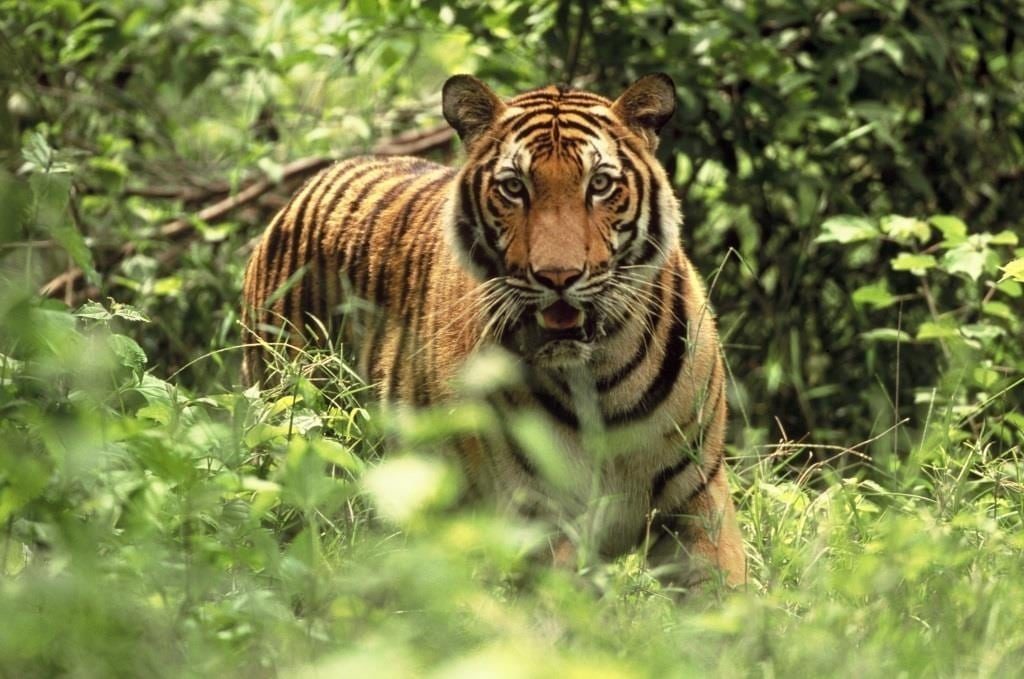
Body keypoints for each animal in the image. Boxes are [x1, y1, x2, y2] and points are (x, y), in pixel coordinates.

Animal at [242, 73, 746, 588]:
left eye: (600, 184)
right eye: (514, 187)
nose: (558, 276)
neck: (600, 377)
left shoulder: (698, 500)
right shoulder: (541, 518)